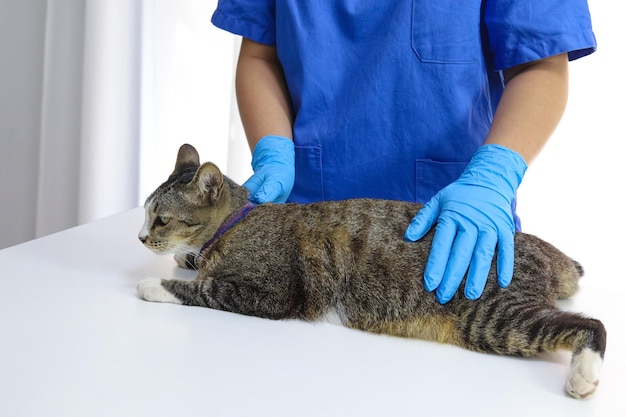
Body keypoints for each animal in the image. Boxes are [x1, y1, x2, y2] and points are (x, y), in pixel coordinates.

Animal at [136, 143, 604, 396]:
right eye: (145, 213)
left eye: (161, 219)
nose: (140, 237)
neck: (237, 222)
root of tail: (543, 249)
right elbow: (197, 266)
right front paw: (186, 258)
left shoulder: (274, 293)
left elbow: (205, 288)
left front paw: (155, 283)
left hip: (491, 315)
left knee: (591, 326)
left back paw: (584, 373)